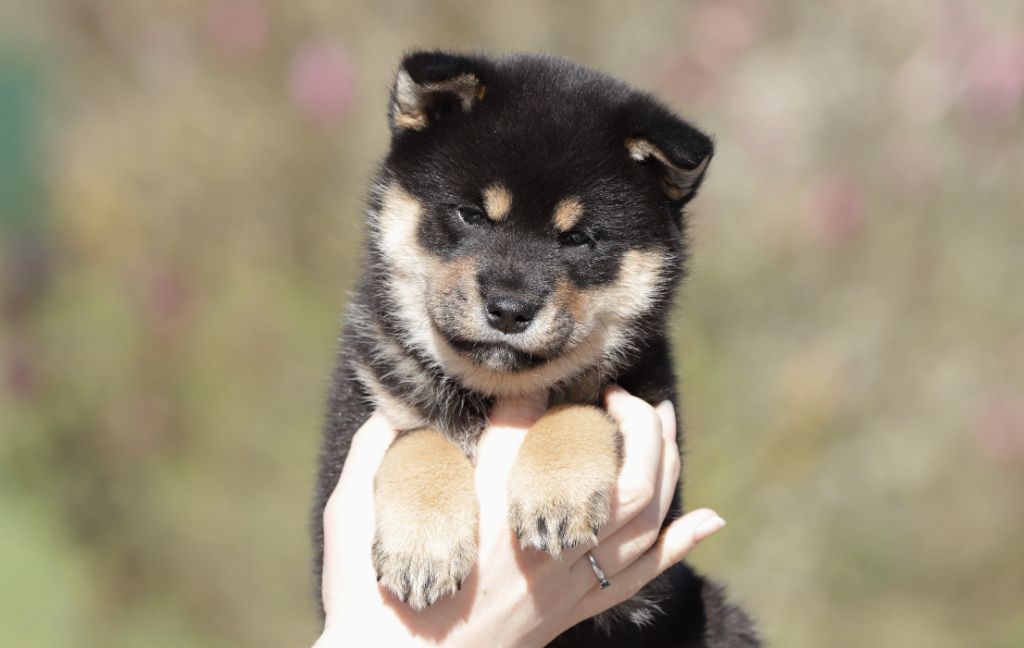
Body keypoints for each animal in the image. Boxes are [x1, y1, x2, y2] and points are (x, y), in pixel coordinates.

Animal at [313, 51, 760, 646]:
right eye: (470, 214)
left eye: (578, 238)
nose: (508, 308)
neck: (493, 391)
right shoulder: (357, 424)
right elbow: (417, 438)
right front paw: (424, 544)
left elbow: (579, 408)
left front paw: (557, 492)